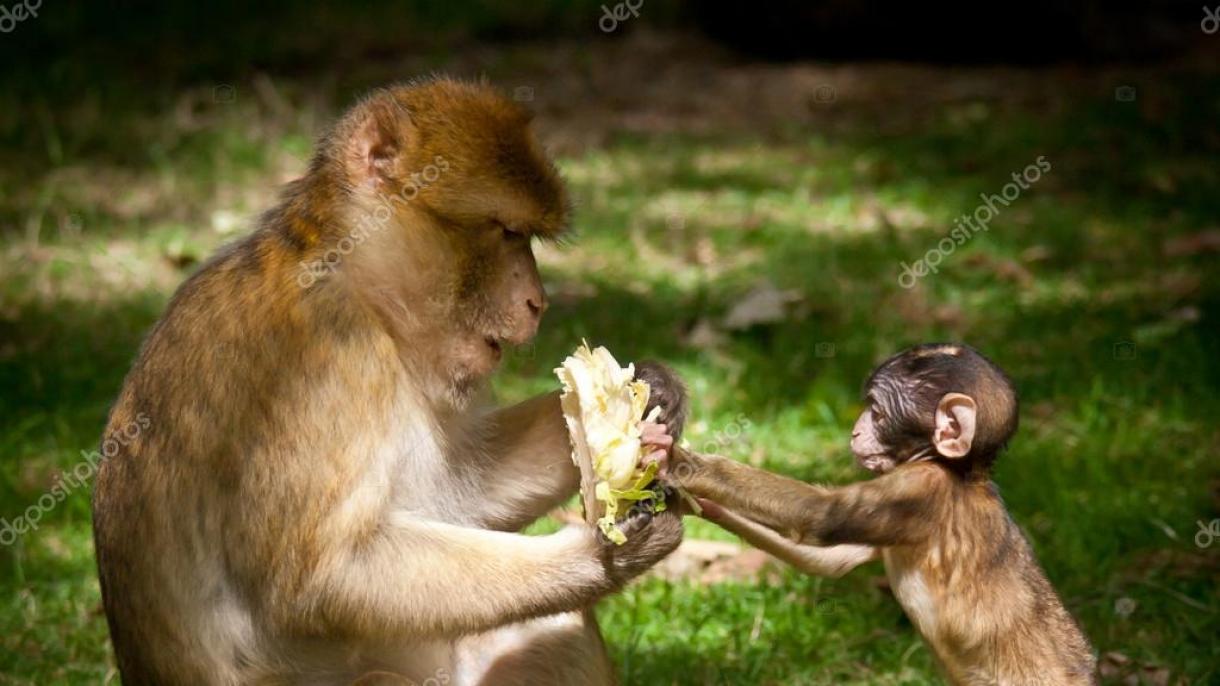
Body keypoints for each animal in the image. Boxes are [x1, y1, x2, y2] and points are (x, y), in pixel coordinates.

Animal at [92, 79, 688, 683]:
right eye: (508, 232)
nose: (536, 302)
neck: (347, 278)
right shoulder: (326, 362)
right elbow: (328, 576)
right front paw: (599, 552)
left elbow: (463, 491)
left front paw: (653, 395)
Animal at [678, 344, 1098, 678]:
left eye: (877, 413)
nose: (854, 431)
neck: (960, 472)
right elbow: (832, 560)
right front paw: (698, 504)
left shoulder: (923, 488)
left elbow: (821, 516)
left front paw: (685, 465)